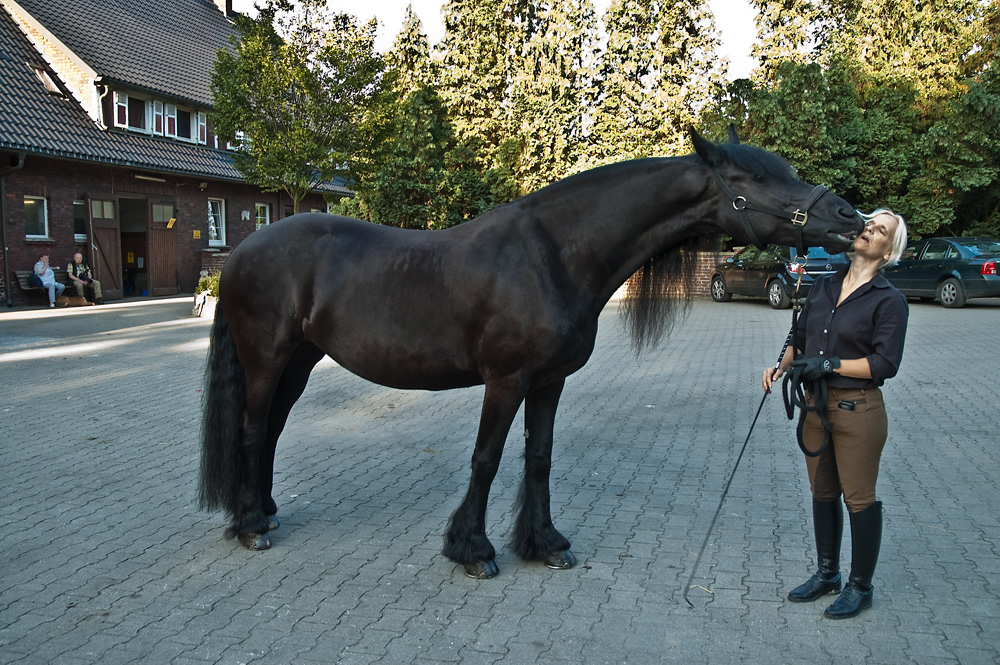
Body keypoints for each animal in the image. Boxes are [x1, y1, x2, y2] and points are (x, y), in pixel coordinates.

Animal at [199, 128, 864, 576]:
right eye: (756, 178)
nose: (848, 216)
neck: (554, 256)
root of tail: (243, 251)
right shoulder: (506, 379)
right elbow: (487, 459)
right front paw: (472, 550)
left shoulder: (549, 381)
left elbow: (538, 458)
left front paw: (545, 543)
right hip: (266, 360)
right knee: (253, 430)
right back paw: (251, 527)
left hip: (298, 362)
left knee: (270, 431)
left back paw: (263, 510)